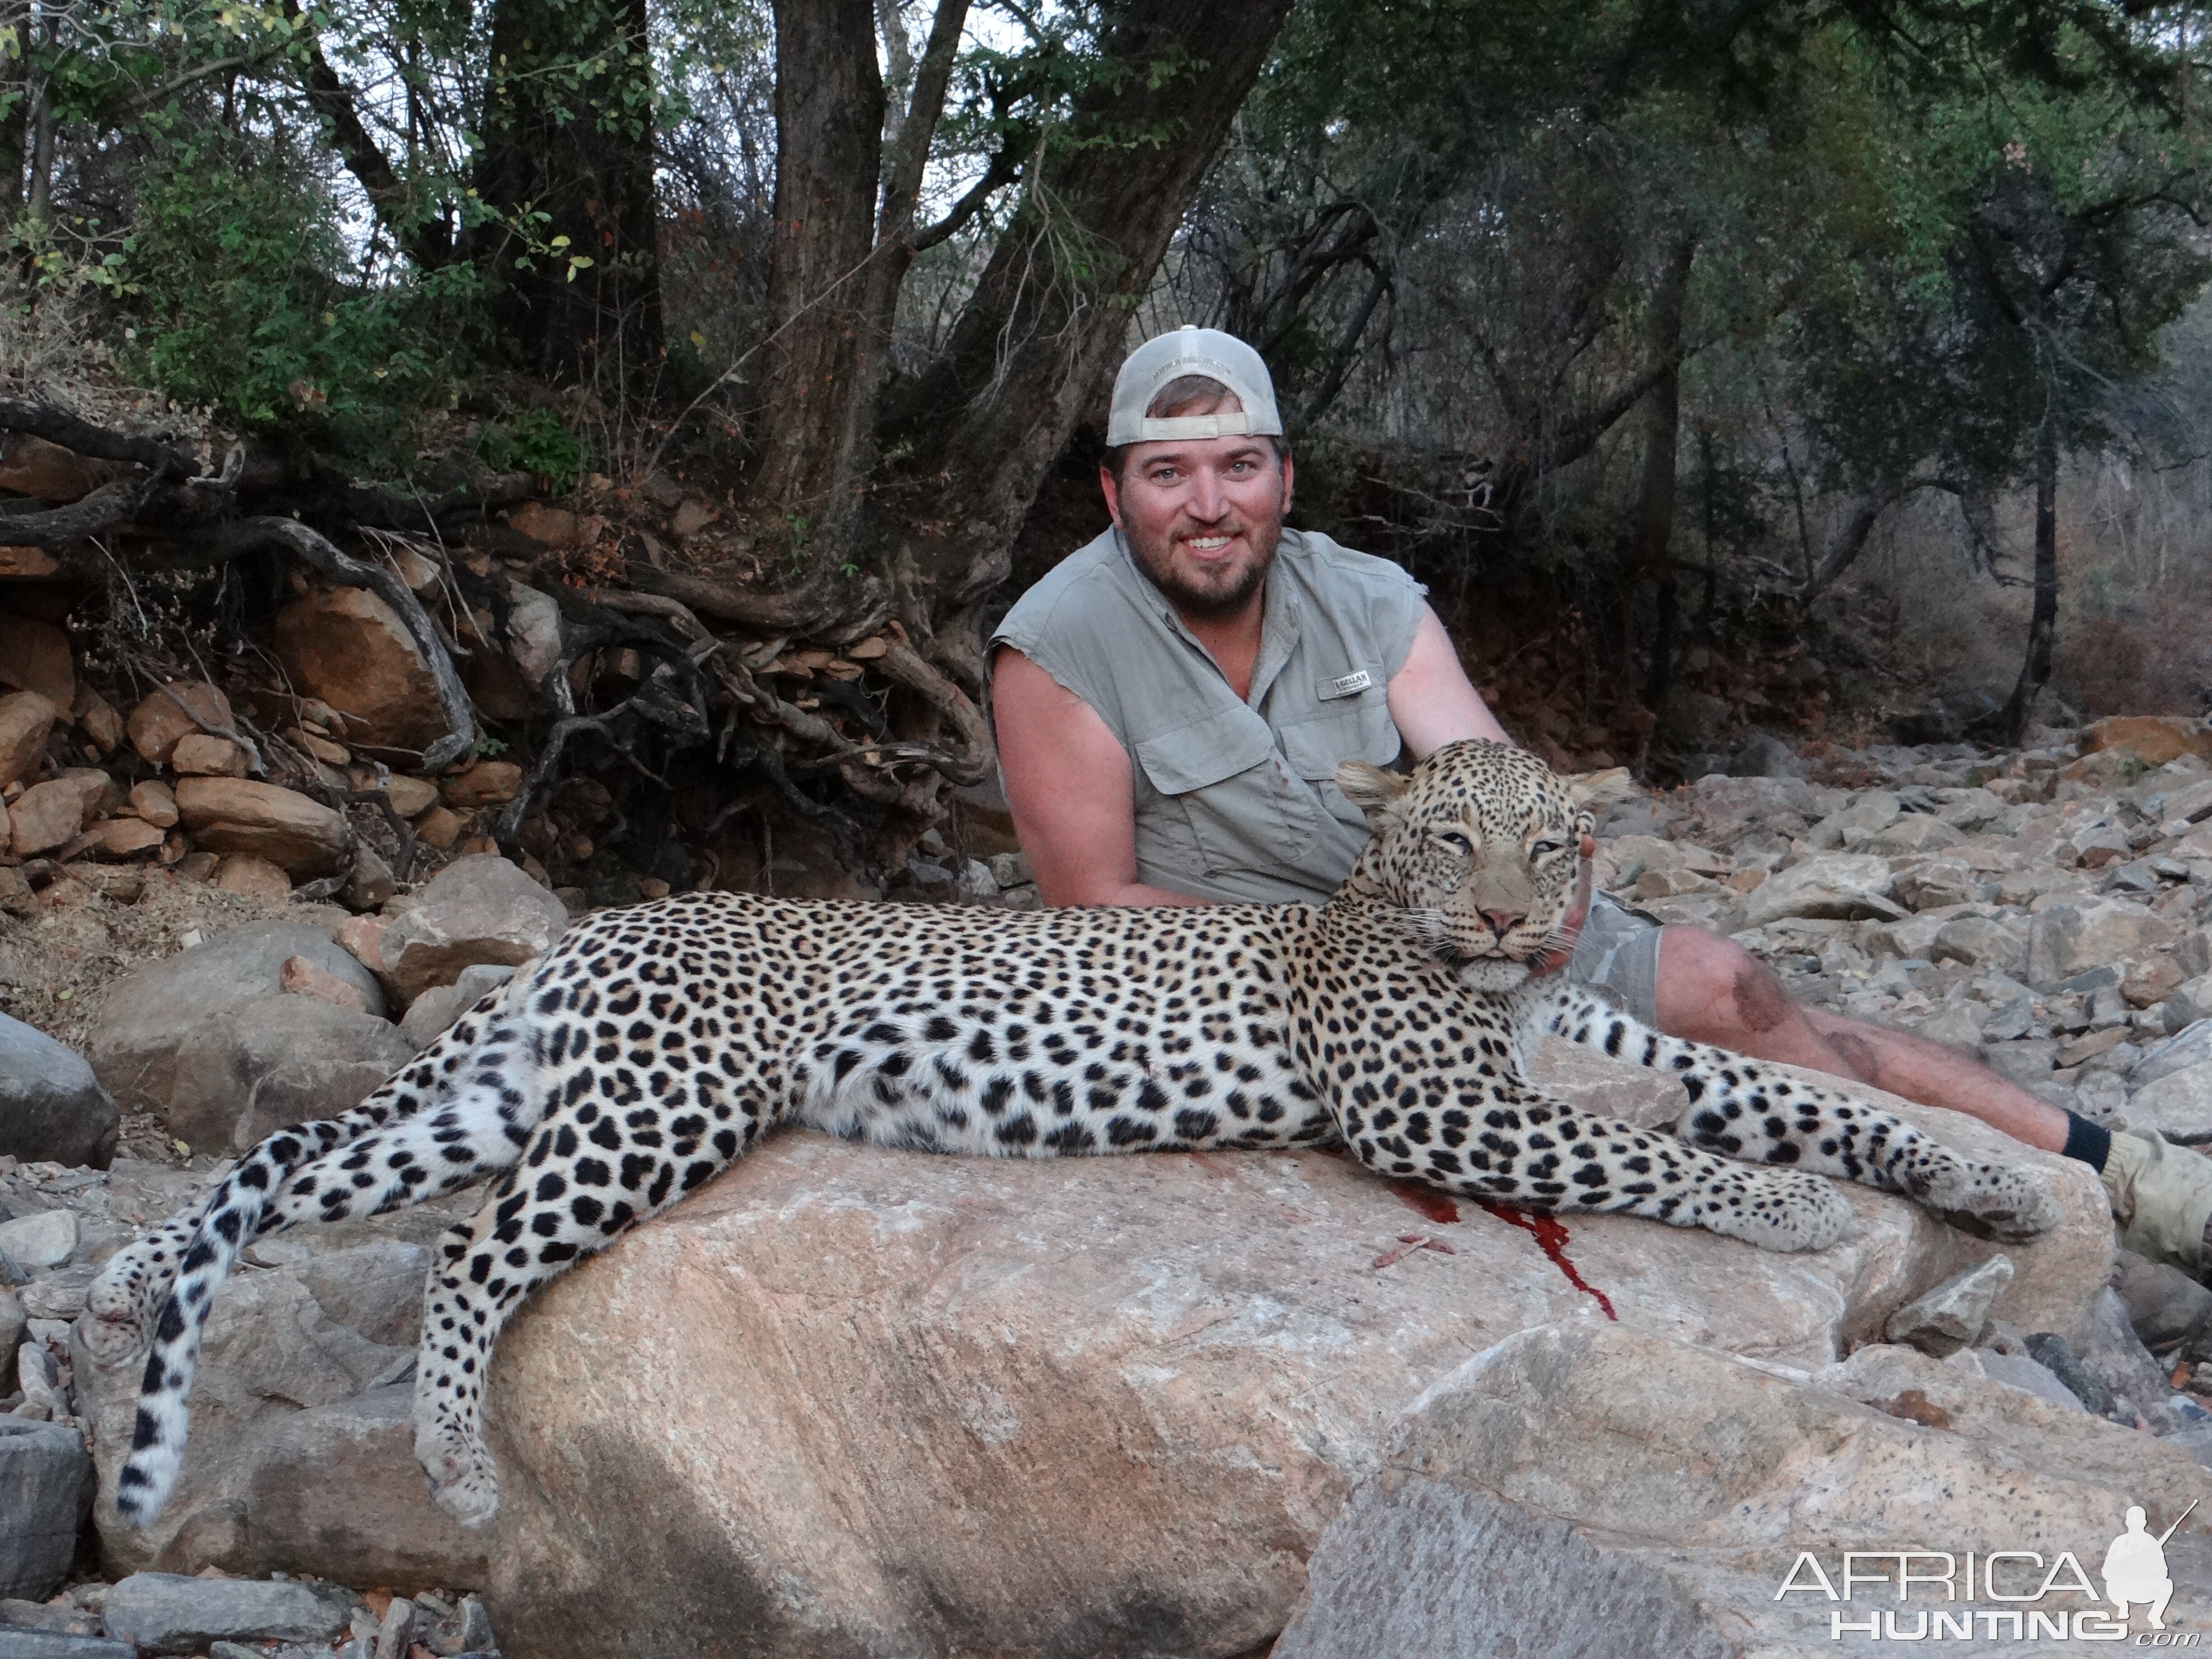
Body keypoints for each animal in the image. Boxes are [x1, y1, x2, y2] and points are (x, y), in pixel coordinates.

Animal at [86, 739, 2053, 1531]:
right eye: (1450, 842)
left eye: (1547, 845)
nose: (1509, 923)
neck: (1482, 989)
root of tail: (589, 928)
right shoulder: (1442, 1108)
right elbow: (1666, 1158)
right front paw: (1795, 1219)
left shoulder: (1581, 1045)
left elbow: (1792, 1093)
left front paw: (1985, 1178)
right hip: (656, 1105)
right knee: (466, 1246)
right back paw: (456, 1465)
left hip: (506, 1094)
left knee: (284, 1184)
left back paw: (126, 1301)